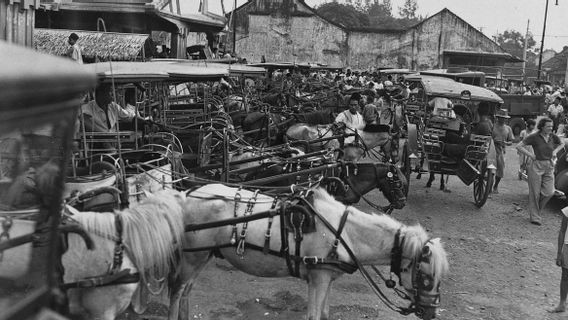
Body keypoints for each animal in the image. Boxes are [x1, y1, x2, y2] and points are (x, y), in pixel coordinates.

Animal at [172, 184, 448, 320]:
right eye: (425, 275)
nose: (431, 313)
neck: (344, 233)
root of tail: (186, 194)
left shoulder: (326, 278)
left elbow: (324, 314)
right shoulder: (318, 276)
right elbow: (314, 316)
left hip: (203, 255)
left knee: (185, 294)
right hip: (191, 257)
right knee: (176, 294)